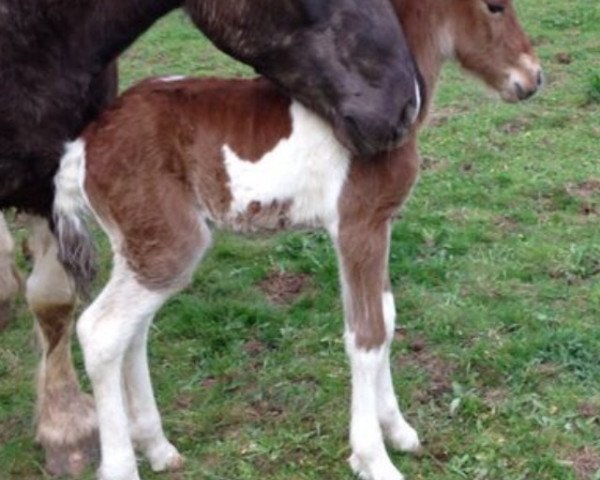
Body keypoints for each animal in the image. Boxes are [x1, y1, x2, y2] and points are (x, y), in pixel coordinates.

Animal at [54, 0, 540, 480]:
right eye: (495, 6)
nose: (534, 77)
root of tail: (84, 143)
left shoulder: (379, 225)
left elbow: (386, 317)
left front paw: (398, 430)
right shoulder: (357, 226)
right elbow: (366, 334)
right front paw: (372, 459)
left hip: (137, 246)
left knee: (132, 332)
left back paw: (158, 447)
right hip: (169, 246)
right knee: (100, 330)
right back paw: (123, 463)